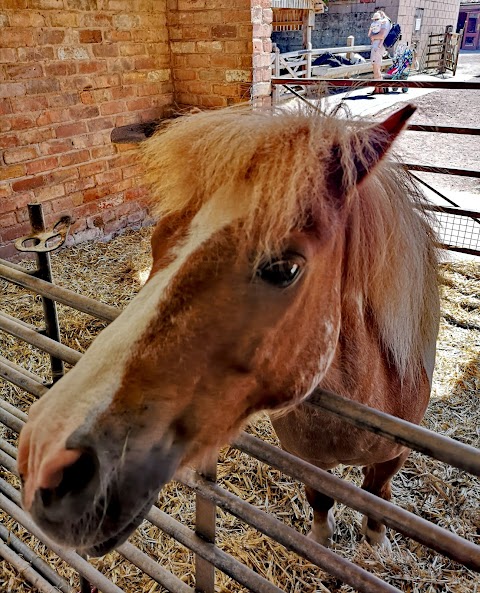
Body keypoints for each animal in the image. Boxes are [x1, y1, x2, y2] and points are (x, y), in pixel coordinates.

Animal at [17, 105, 438, 556]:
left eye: (283, 269)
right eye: (158, 238)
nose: (43, 454)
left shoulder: (393, 456)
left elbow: (378, 493)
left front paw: (375, 541)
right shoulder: (309, 462)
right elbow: (320, 498)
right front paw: (321, 540)